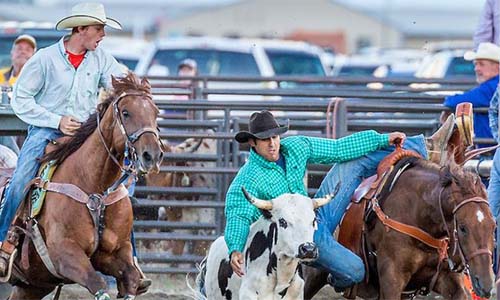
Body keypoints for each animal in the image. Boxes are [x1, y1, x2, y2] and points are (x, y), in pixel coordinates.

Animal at [4, 72, 163, 300]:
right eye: (126, 113)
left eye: (155, 112)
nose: (152, 156)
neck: (94, 189)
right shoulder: (65, 254)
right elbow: (96, 282)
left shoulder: (113, 253)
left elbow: (131, 276)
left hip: (31, 286)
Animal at [302, 157, 494, 300]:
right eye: (462, 228)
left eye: (493, 226)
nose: (485, 284)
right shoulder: (392, 279)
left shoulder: (448, 278)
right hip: (312, 275)